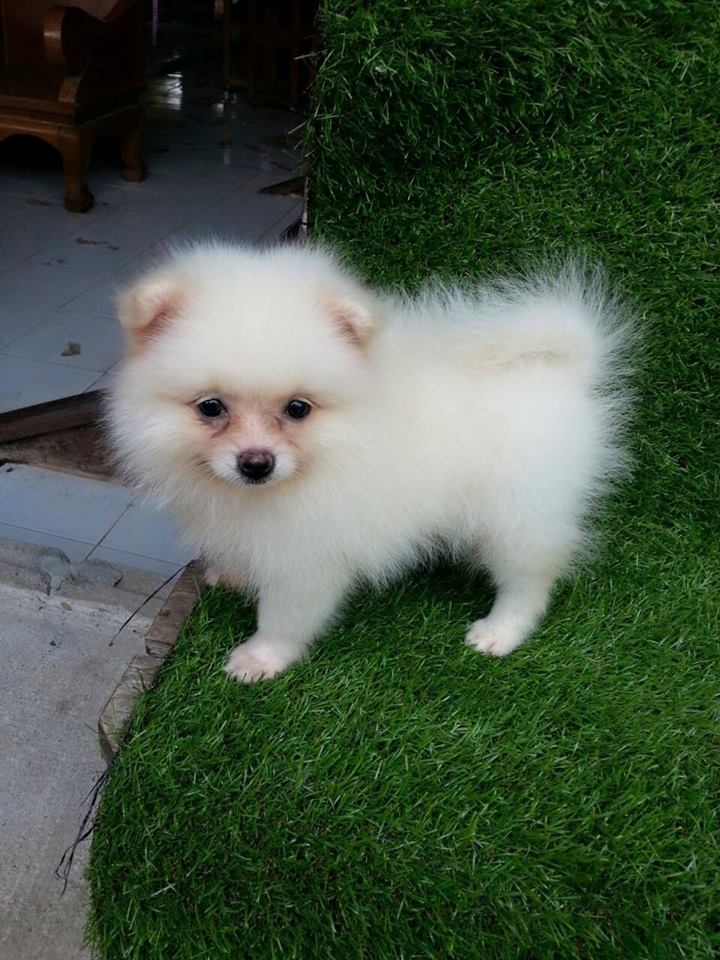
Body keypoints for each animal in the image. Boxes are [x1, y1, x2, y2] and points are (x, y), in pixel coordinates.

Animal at [108, 242, 632, 682]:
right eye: (211, 407)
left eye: (298, 408)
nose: (256, 463)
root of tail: (566, 368)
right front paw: (233, 574)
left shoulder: (309, 553)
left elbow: (285, 614)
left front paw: (261, 657)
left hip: (519, 511)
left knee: (529, 577)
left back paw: (500, 631)